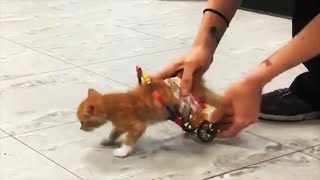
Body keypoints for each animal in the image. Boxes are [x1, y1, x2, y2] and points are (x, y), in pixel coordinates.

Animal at [76, 77, 220, 158]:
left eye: (83, 121)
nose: (81, 128)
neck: (112, 105)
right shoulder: (120, 126)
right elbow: (114, 133)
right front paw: (108, 140)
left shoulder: (138, 125)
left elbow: (129, 139)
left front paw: (123, 151)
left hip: (188, 104)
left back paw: (206, 128)